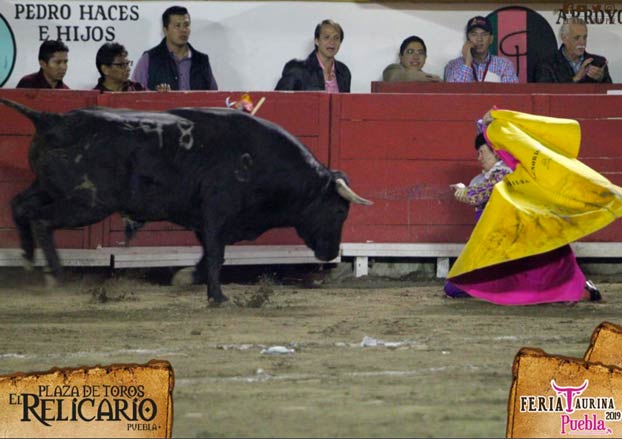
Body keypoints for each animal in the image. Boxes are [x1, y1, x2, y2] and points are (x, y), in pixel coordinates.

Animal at [2, 99, 372, 304]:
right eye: (339, 210)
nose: (330, 253)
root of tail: (51, 119)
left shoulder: (205, 220)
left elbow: (207, 254)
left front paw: (185, 278)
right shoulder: (217, 213)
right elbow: (217, 254)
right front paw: (218, 297)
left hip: (50, 187)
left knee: (20, 206)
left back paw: (28, 262)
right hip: (89, 201)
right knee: (42, 219)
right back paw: (54, 275)